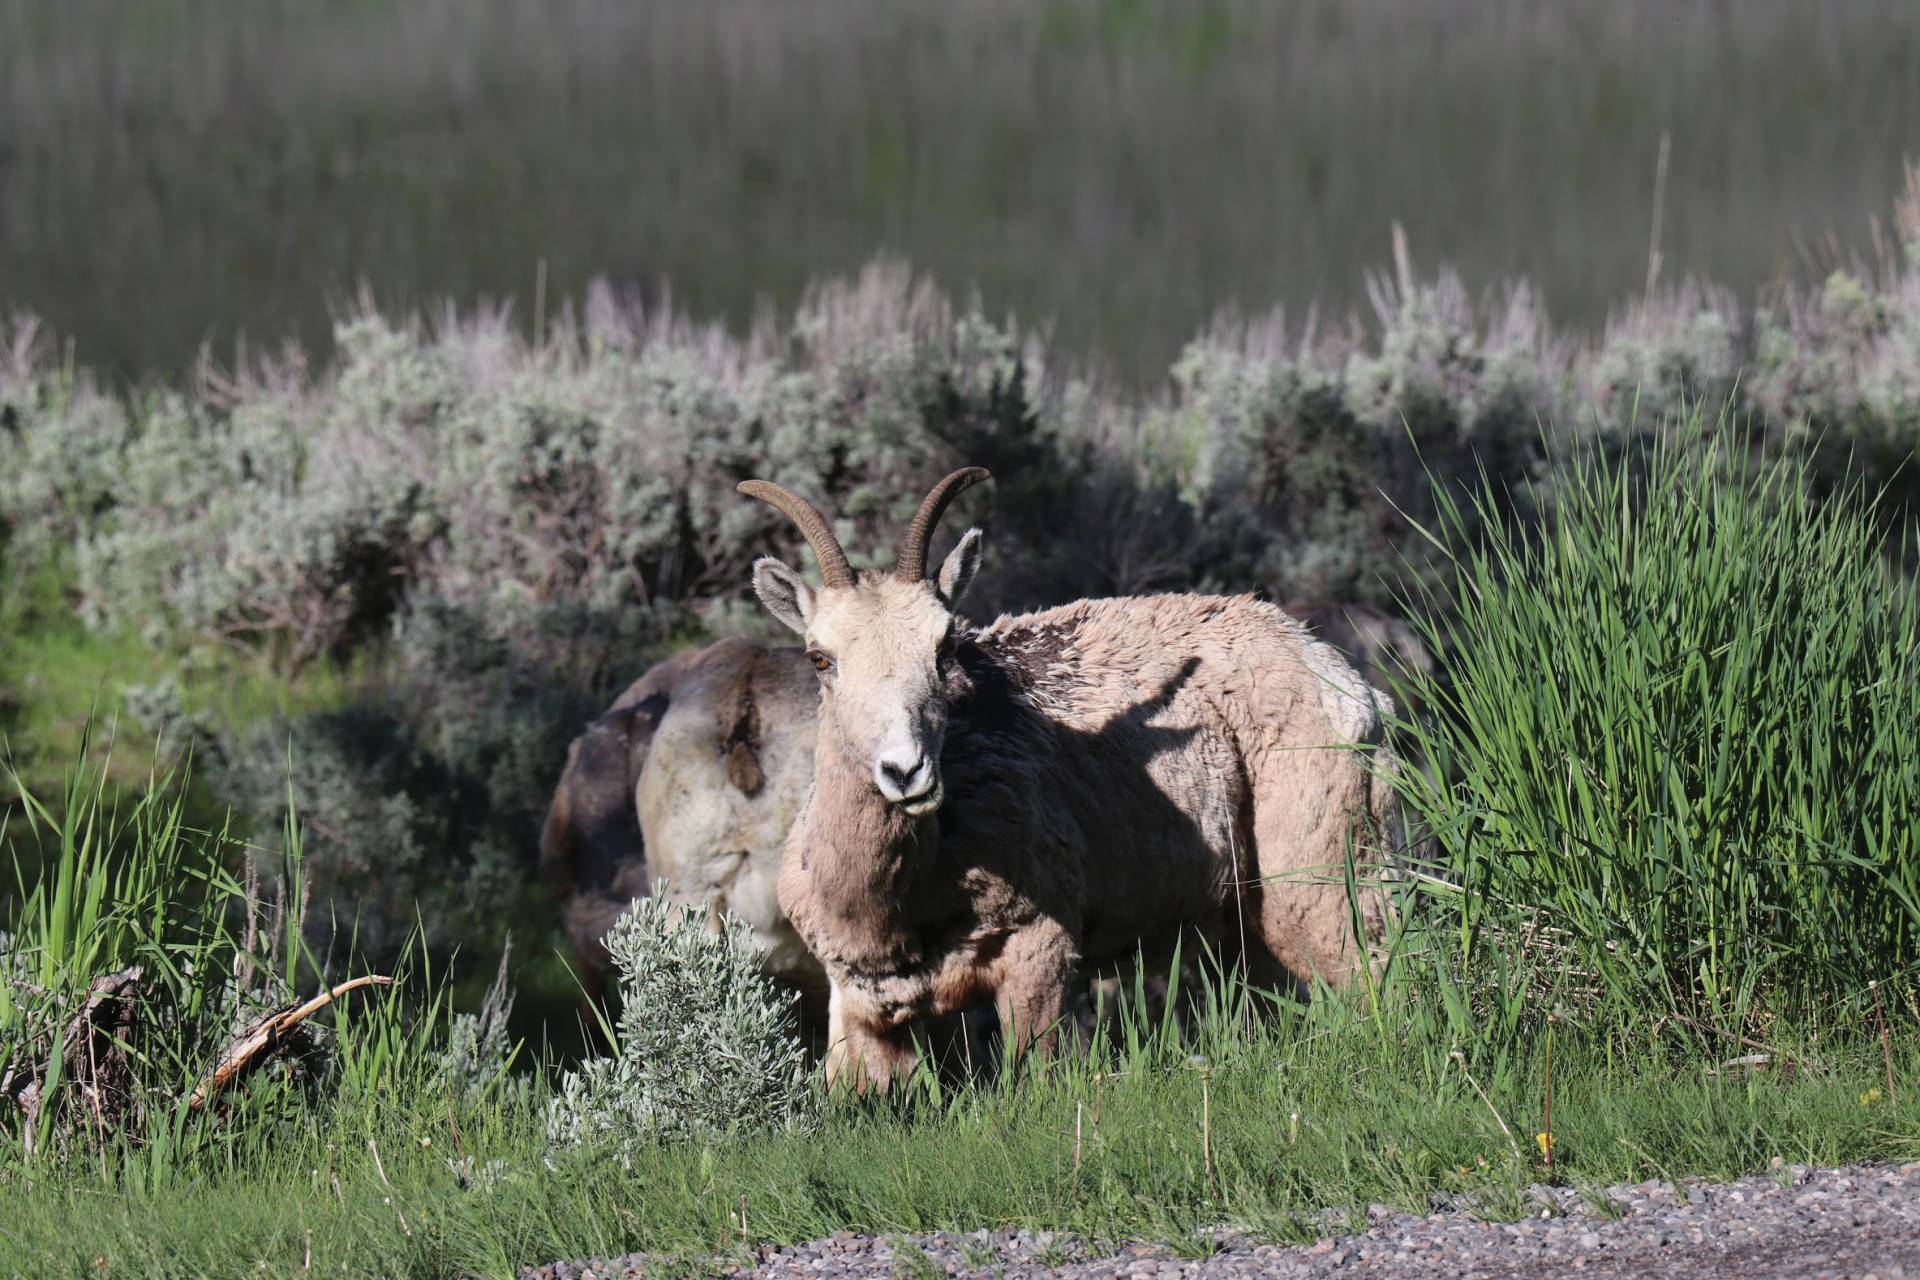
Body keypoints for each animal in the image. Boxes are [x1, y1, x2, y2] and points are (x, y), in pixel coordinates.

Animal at [740, 467, 1399, 1088]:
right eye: (820, 657)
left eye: (945, 647)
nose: (906, 771)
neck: (896, 913)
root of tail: (1355, 689)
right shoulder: (859, 1009)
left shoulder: (1041, 951)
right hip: (1248, 924)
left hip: (1325, 881)